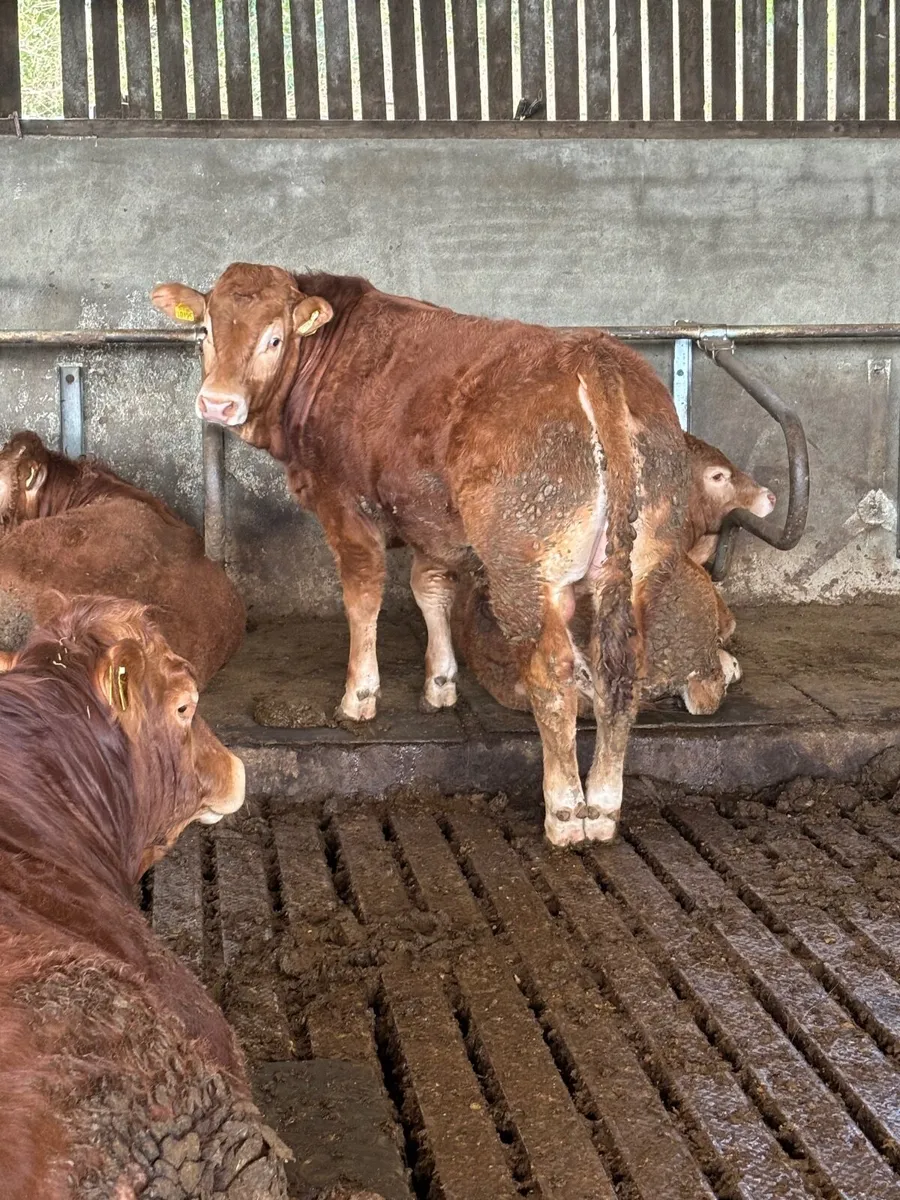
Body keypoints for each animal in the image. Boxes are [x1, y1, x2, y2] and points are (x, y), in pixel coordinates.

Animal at [152, 263, 690, 847]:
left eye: (274, 338)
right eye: (206, 330)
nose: (217, 403)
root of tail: (595, 355)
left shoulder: (346, 506)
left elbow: (363, 598)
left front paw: (359, 696)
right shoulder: (432, 521)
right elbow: (431, 591)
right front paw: (440, 685)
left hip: (521, 565)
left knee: (553, 672)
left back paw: (568, 810)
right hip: (643, 563)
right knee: (622, 665)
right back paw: (607, 804)